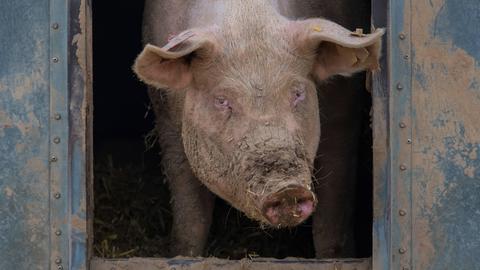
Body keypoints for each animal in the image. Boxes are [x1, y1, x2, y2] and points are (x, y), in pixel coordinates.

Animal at [133, 0, 384, 258]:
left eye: (297, 92)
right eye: (222, 100)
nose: (287, 190)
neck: (247, 16)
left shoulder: (343, 115)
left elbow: (332, 214)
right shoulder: (167, 120)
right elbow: (191, 215)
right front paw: (184, 256)